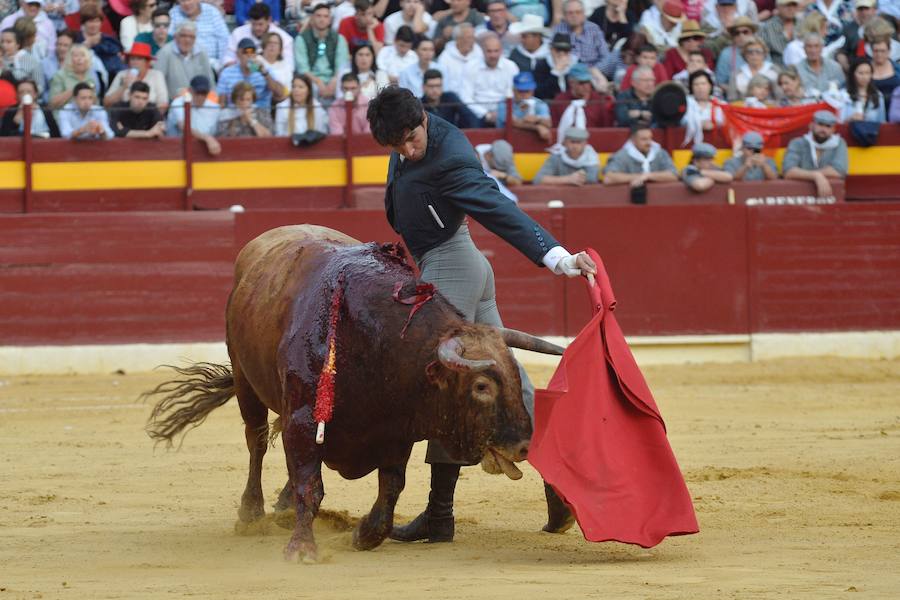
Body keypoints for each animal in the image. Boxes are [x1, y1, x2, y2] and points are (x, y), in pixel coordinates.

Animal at [145, 225, 568, 564]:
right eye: (481, 386)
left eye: (514, 375)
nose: (524, 445)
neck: (375, 341)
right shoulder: (304, 417)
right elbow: (310, 485)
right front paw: (302, 548)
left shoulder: (395, 431)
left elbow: (390, 489)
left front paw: (364, 535)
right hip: (246, 379)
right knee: (257, 440)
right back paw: (252, 512)